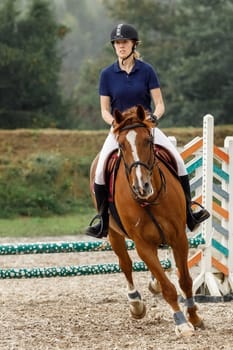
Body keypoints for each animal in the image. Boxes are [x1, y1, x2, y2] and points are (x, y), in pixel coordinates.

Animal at [89, 104, 204, 336]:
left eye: (148, 141)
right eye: (121, 145)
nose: (141, 186)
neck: (149, 200)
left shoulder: (179, 238)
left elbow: (185, 281)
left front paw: (194, 318)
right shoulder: (143, 245)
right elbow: (168, 287)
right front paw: (181, 323)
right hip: (114, 234)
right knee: (125, 264)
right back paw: (136, 304)